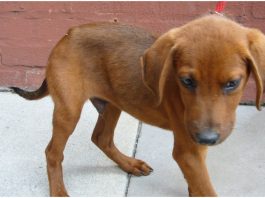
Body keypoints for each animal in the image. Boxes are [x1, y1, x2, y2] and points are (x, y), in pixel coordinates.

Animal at [9, 14, 264, 196]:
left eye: (232, 83)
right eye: (187, 81)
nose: (207, 138)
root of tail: (69, 34)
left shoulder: (197, 149)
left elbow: (198, 186)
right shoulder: (188, 151)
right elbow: (205, 189)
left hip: (114, 102)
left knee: (101, 138)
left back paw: (130, 164)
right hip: (69, 110)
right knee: (53, 152)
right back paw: (59, 191)